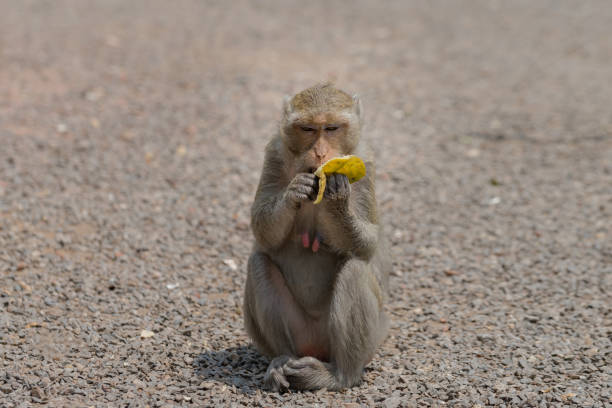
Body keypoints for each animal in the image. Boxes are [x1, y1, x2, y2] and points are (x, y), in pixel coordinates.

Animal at [241, 83, 390, 392]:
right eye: (308, 129)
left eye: (332, 128)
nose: (321, 154)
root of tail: (315, 350)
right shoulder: (274, 153)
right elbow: (261, 229)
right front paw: (293, 194)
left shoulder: (366, 161)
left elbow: (368, 244)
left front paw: (337, 199)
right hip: (299, 335)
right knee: (259, 264)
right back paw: (282, 361)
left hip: (365, 340)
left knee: (354, 269)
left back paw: (340, 375)